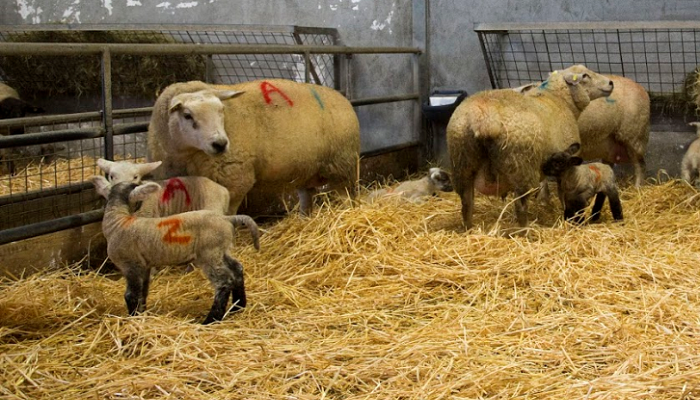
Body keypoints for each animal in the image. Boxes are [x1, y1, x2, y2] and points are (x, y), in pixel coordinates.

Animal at [99, 180, 261, 324]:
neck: (118, 221)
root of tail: (226, 218)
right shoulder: (144, 265)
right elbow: (143, 292)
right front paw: (142, 314)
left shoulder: (130, 264)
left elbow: (131, 295)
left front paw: (133, 318)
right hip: (222, 250)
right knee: (237, 269)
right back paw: (237, 307)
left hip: (209, 253)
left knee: (224, 282)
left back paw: (210, 320)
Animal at [146, 79, 360, 216]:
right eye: (187, 115)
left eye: (221, 110)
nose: (220, 144)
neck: (186, 154)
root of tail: (342, 98)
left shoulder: (234, 182)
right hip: (305, 169)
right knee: (307, 196)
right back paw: (305, 219)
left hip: (342, 166)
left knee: (345, 195)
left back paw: (347, 212)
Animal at [447, 64, 614, 229]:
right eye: (585, 75)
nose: (611, 83)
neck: (558, 99)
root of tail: (484, 119)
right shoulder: (566, 162)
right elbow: (563, 193)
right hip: (521, 166)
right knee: (520, 206)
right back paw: (525, 230)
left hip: (463, 163)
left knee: (466, 203)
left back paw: (469, 229)